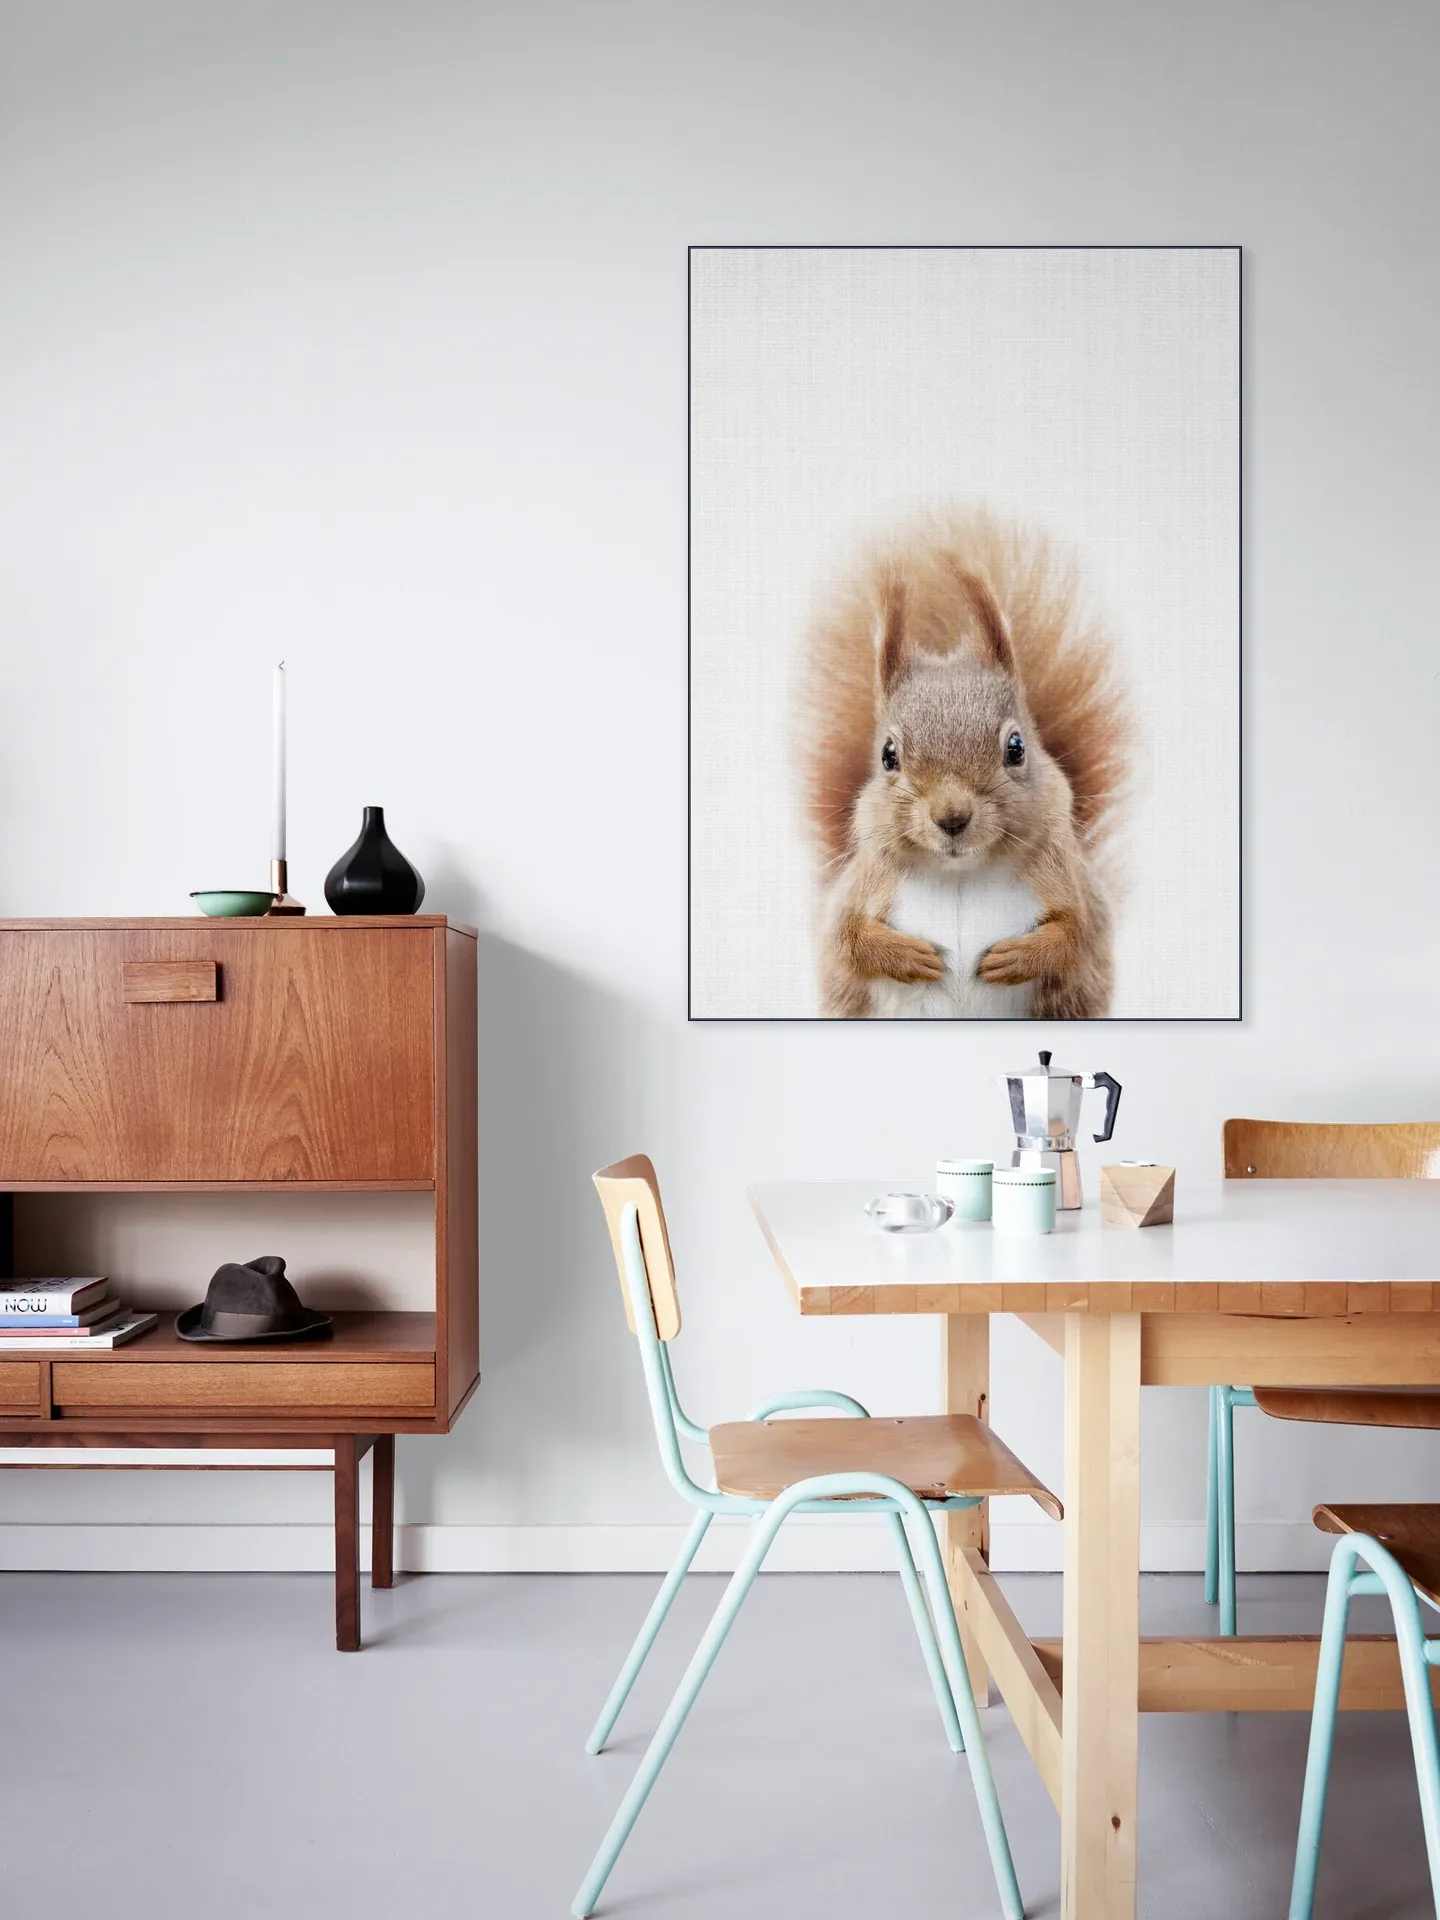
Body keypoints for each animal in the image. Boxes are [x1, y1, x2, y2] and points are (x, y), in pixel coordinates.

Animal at [798, 509, 1128, 1020]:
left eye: (1016, 748)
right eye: (888, 755)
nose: (951, 818)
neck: (960, 875)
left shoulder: (1073, 885)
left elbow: (1077, 933)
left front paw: (1020, 956)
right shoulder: (861, 887)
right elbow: (846, 938)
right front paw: (906, 955)